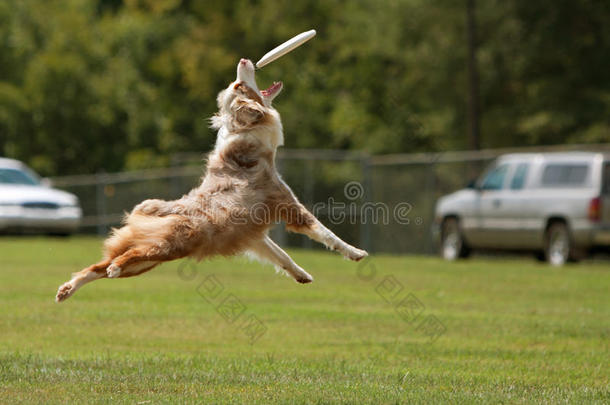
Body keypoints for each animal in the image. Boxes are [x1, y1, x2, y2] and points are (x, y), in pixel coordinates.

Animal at [54, 58, 366, 302]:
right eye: (239, 86)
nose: (243, 59)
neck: (245, 141)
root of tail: (159, 210)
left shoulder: (254, 235)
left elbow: (282, 256)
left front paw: (301, 274)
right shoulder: (288, 205)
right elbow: (327, 234)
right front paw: (356, 252)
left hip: (148, 262)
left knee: (96, 268)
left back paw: (67, 289)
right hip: (166, 247)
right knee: (123, 259)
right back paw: (110, 269)